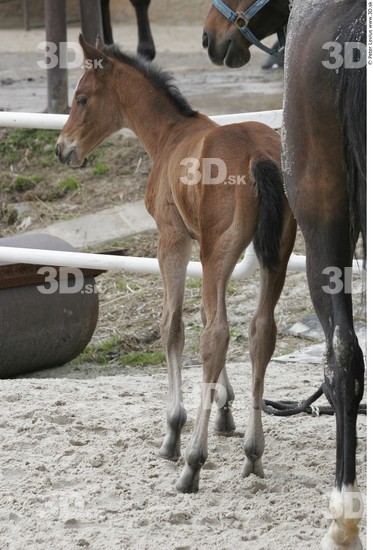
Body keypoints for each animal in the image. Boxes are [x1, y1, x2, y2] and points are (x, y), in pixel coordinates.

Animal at [56, 35, 294, 496]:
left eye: (81, 98)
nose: (62, 148)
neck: (170, 136)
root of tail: (259, 154)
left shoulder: (173, 239)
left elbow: (173, 324)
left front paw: (172, 431)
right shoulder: (203, 244)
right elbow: (202, 315)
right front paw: (224, 410)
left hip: (218, 252)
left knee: (216, 335)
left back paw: (192, 464)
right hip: (277, 252)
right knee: (260, 331)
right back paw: (253, 455)